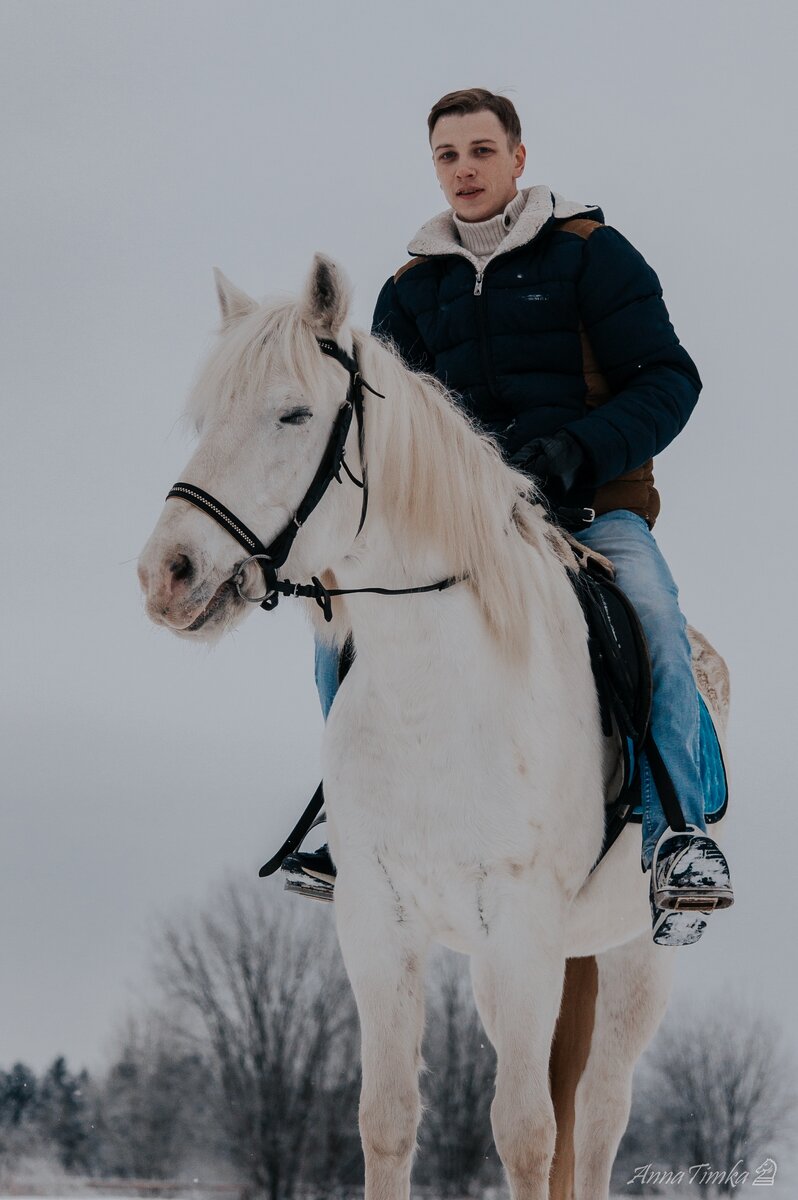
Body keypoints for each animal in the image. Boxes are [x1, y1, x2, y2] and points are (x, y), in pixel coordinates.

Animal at [138, 255, 729, 1200]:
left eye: (294, 413)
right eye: (205, 417)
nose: (168, 574)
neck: (435, 698)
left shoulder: (523, 930)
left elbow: (526, 1134)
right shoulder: (381, 927)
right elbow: (387, 1121)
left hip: (638, 958)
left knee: (599, 1117)